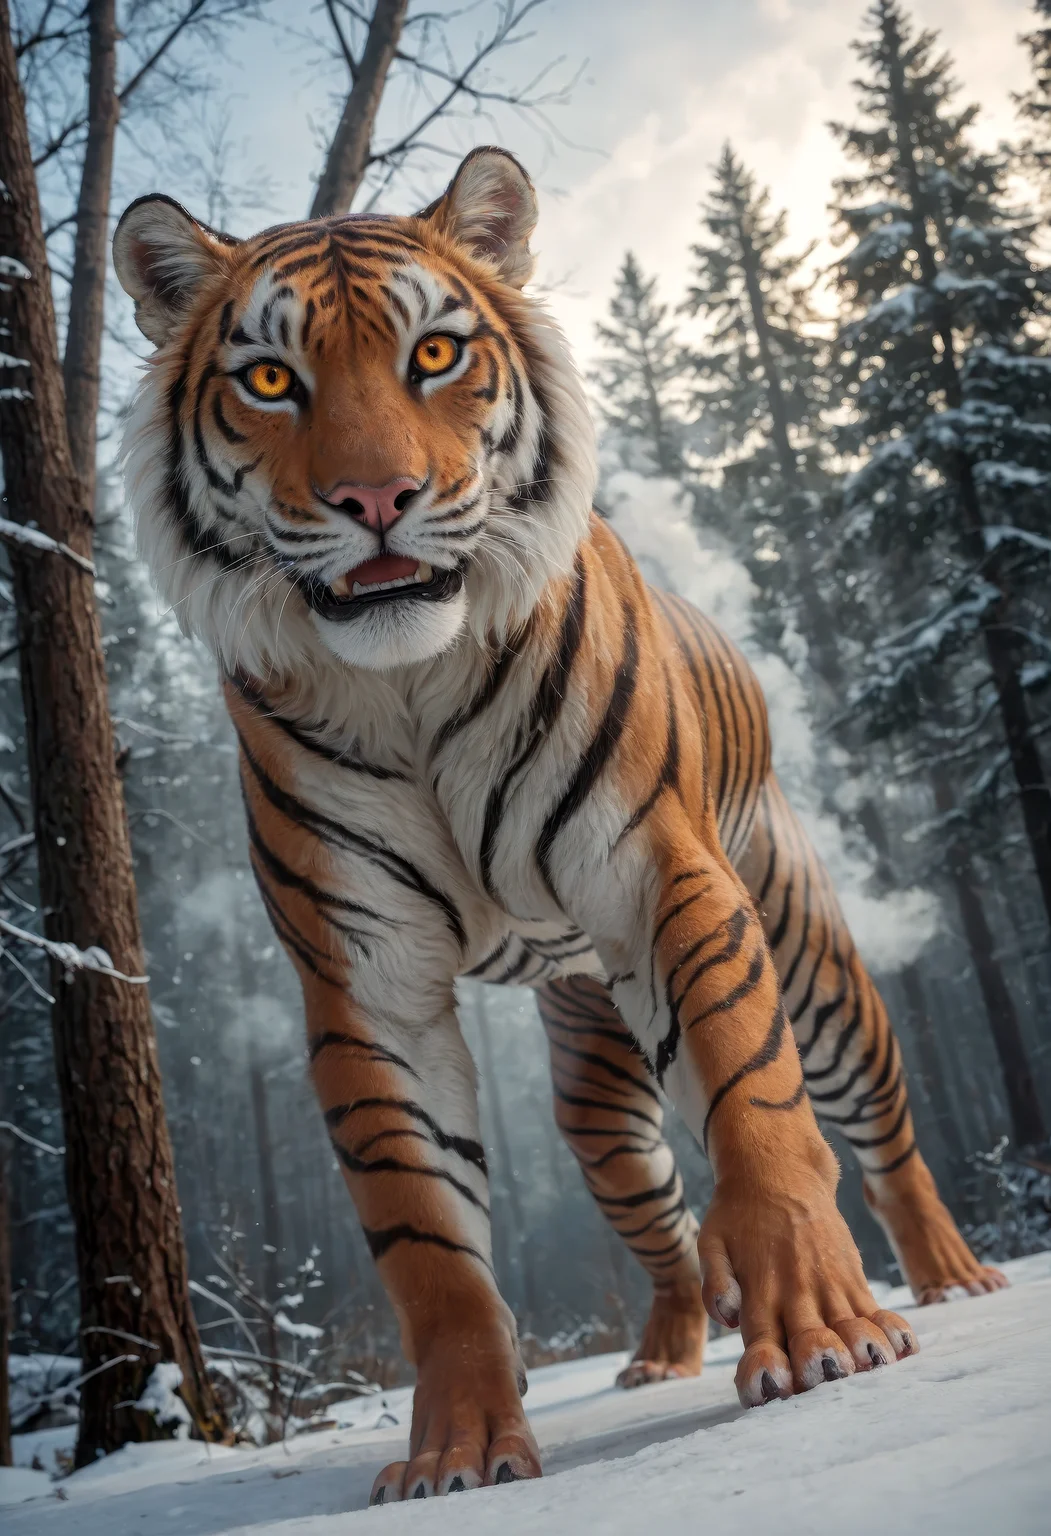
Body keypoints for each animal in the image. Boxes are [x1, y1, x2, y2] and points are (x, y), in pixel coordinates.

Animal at [114, 146, 1005, 1504]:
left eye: (434, 354)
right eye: (269, 380)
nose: (377, 496)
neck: (409, 682)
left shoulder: (656, 878)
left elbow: (756, 1107)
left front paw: (822, 1331)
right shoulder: (367, 986)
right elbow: (429, 1244)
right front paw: (458, 1449)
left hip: (815, 967)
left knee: (877, 1132)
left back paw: (949, 1274)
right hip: (599, 1106)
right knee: (668, 1231)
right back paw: (665, 1351)